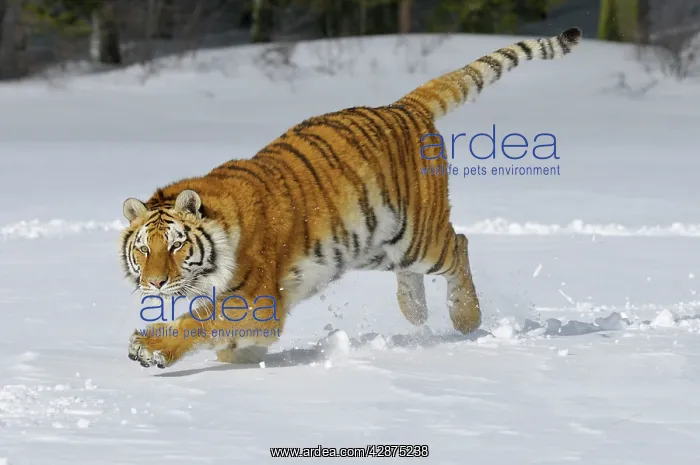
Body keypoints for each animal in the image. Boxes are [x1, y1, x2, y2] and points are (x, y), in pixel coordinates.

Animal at [120, 27, 582, 369]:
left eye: (176, 245)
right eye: (143, 249)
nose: (154, 283)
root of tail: (404, 106)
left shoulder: (254, 298)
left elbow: (198, 323)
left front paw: (151, 347)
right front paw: (239, 356)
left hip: (419, 237)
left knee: (460, 244)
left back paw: (466, 318)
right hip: (374, 242)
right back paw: (415, 312)